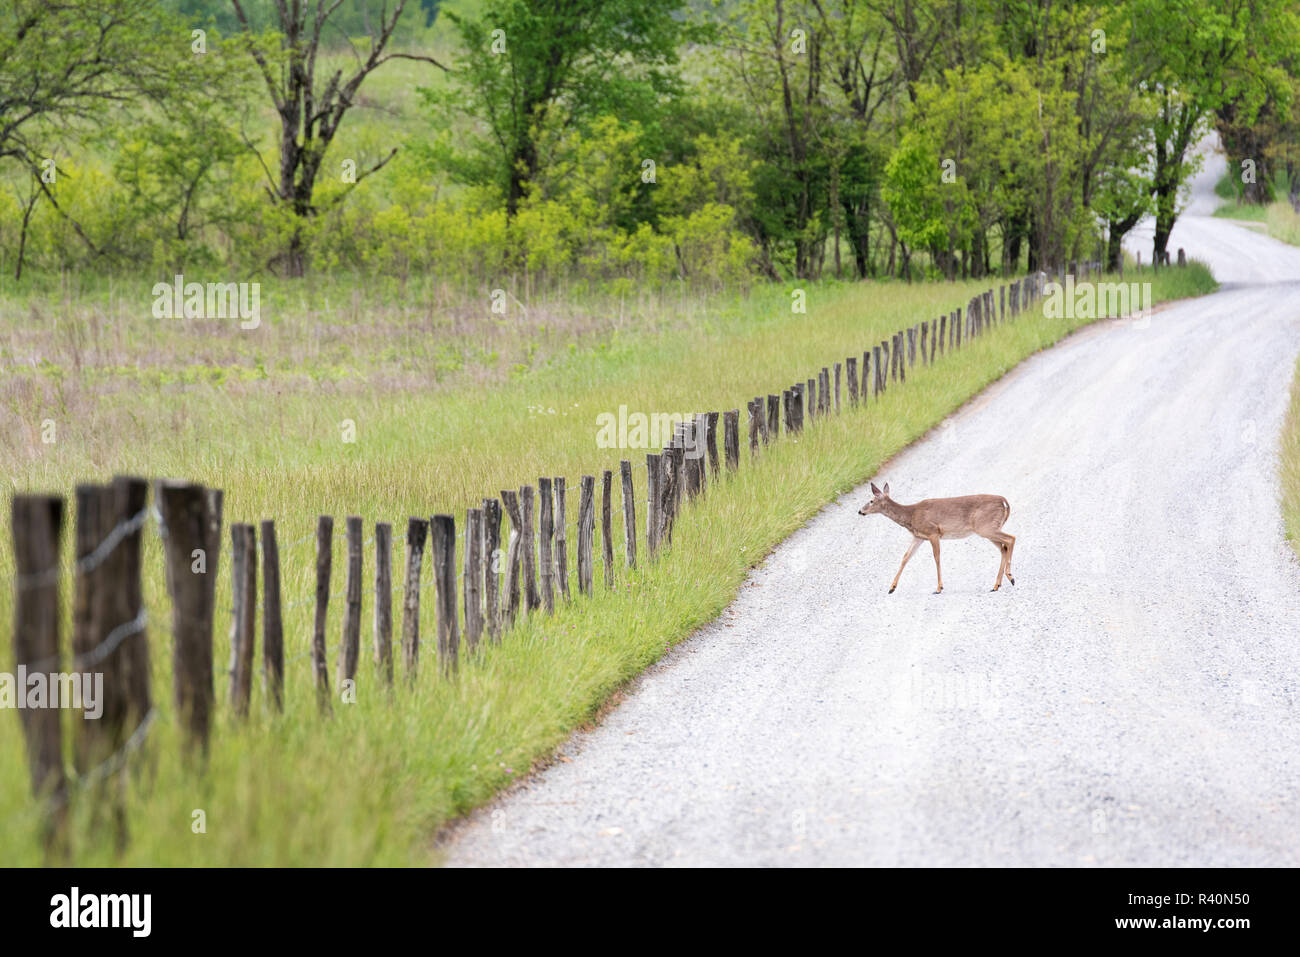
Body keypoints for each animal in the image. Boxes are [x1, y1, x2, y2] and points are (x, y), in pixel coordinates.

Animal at [857, 483, 1015, 594]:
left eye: (871, 501)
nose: (860, 511)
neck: (911, 516)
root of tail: (1004, 502)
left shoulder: (933, 532)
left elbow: (936, 557)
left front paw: (939, 588)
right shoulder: (919, 536)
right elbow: (906, 557)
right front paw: (891, 587)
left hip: (986, 526)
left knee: (1010, 539)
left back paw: (1010, 577)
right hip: (989, 528)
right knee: (1003, 547)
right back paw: (996, 585)